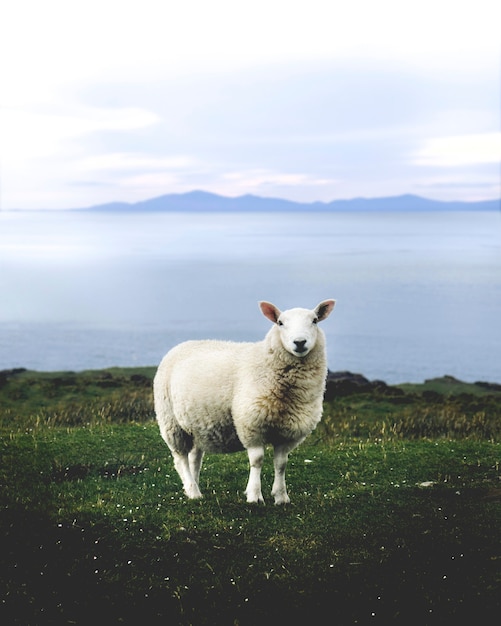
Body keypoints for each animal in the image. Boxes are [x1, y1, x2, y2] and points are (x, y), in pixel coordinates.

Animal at [151, 298, 336, 502]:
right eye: (280, 323)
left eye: (314, 321)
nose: (300, 342)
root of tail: (182, 345)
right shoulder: (251, 424)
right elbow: (257, 460)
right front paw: (254, 495)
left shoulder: (287, 432)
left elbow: (281, 464)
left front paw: (281, 497)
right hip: (172, 422)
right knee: (181, 458)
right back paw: (192, 491)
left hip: (196, 425)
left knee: (195, 457)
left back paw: (194, 486)